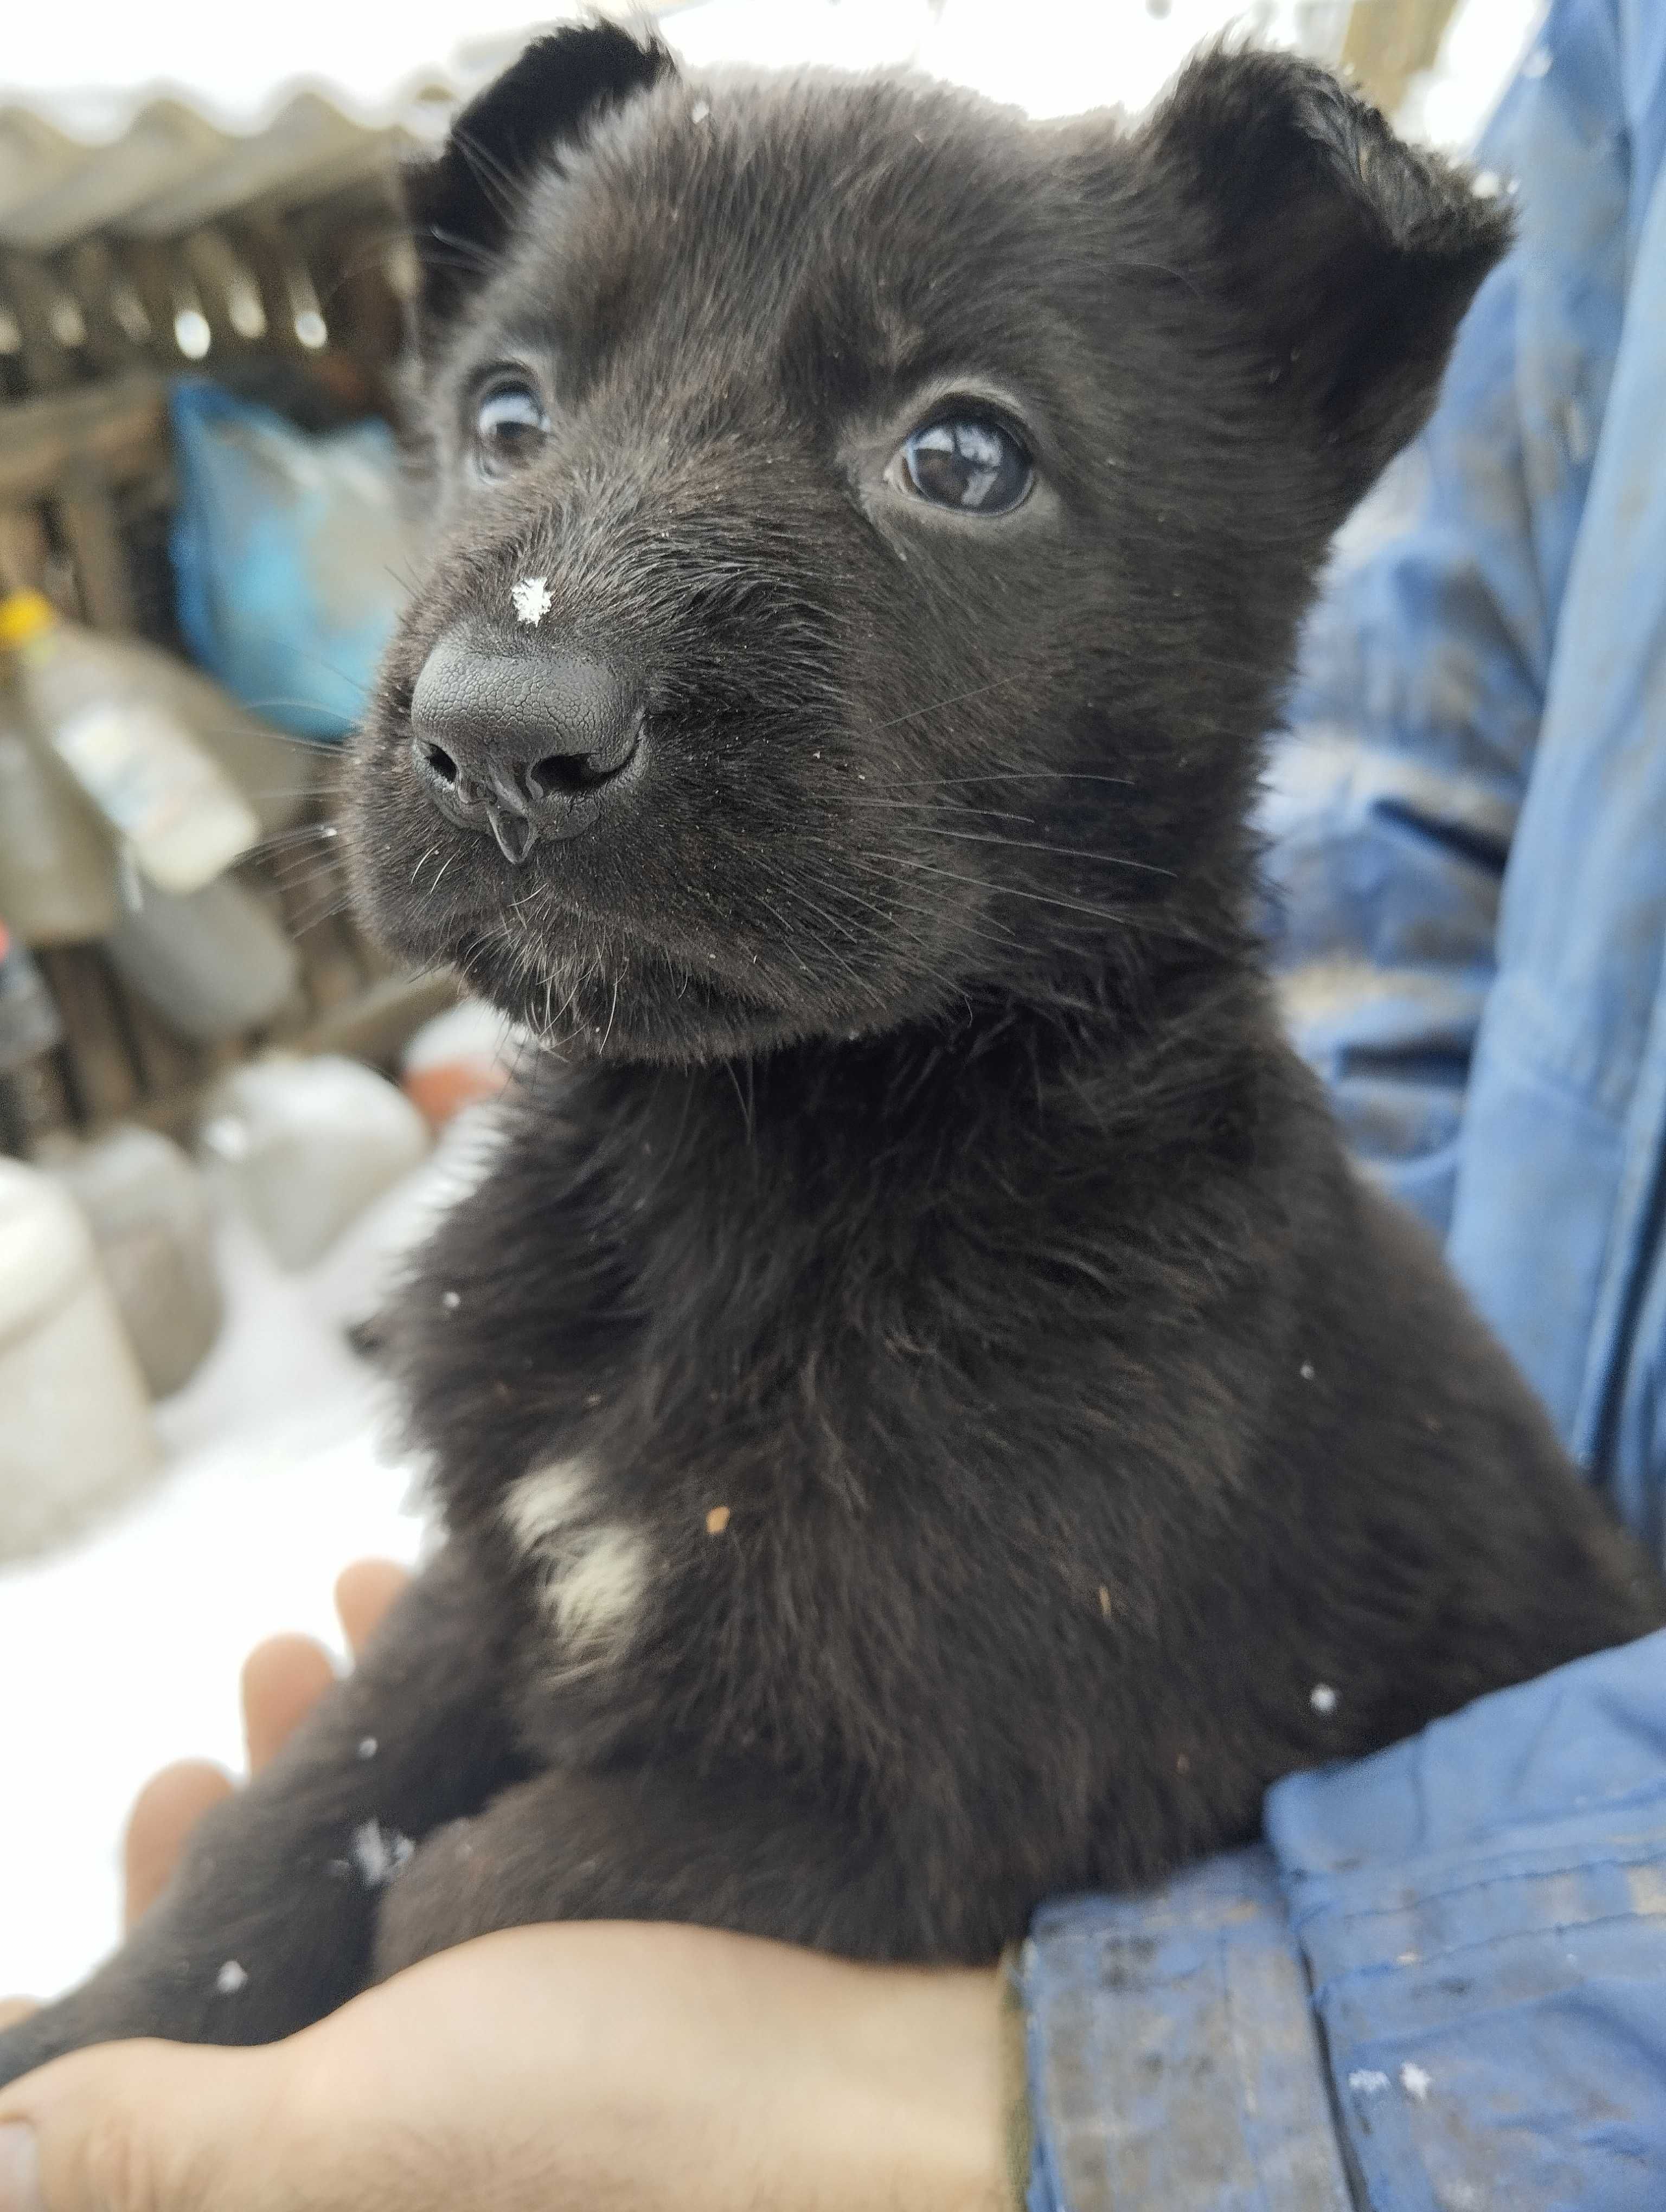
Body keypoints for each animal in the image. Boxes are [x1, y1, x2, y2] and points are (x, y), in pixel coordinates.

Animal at [6, 25, 1655, 2079]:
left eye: (962, 456)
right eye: (508, 415)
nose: (501, 733)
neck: (746, 1171)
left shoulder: (924, 1820)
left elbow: (467, 1895)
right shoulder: (495, 1574)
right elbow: (302, 1815)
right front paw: (86, 2039)